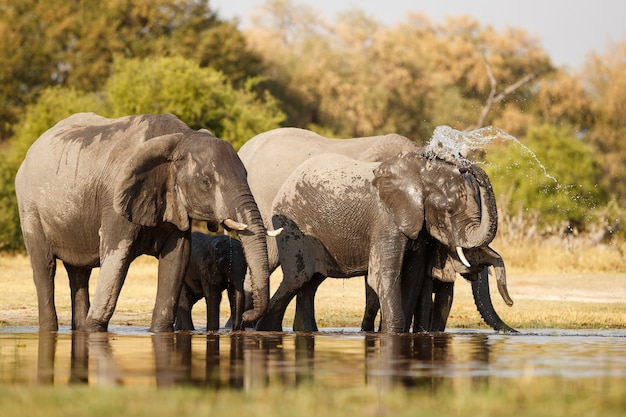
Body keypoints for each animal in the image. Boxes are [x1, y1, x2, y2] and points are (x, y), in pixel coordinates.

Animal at [15, 111, 270, 332]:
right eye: (206, 182)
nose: (247, 316)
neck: (181, 137)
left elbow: (177, 257)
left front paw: (159, 332)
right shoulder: (115, 199)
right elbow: (116, 257)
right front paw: (94, 329)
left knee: (79, 273)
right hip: (29, 206)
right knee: (45, 267)